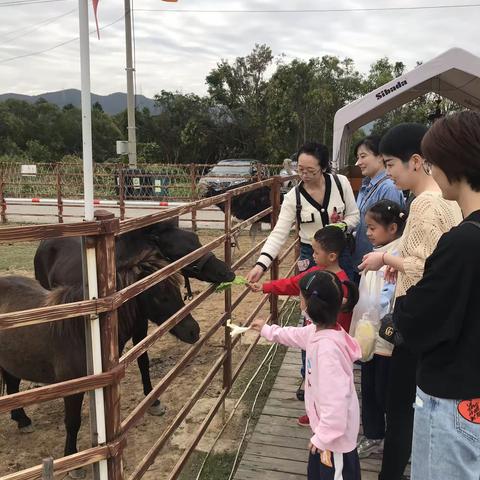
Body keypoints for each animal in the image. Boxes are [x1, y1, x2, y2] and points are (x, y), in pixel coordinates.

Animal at [0, 253, 197, 478]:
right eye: (160, 296)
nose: (194, 330)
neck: (82, 334)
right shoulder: (72, 388)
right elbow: (72, 423)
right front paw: (74, 462)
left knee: (13, 386)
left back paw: (22, 420)